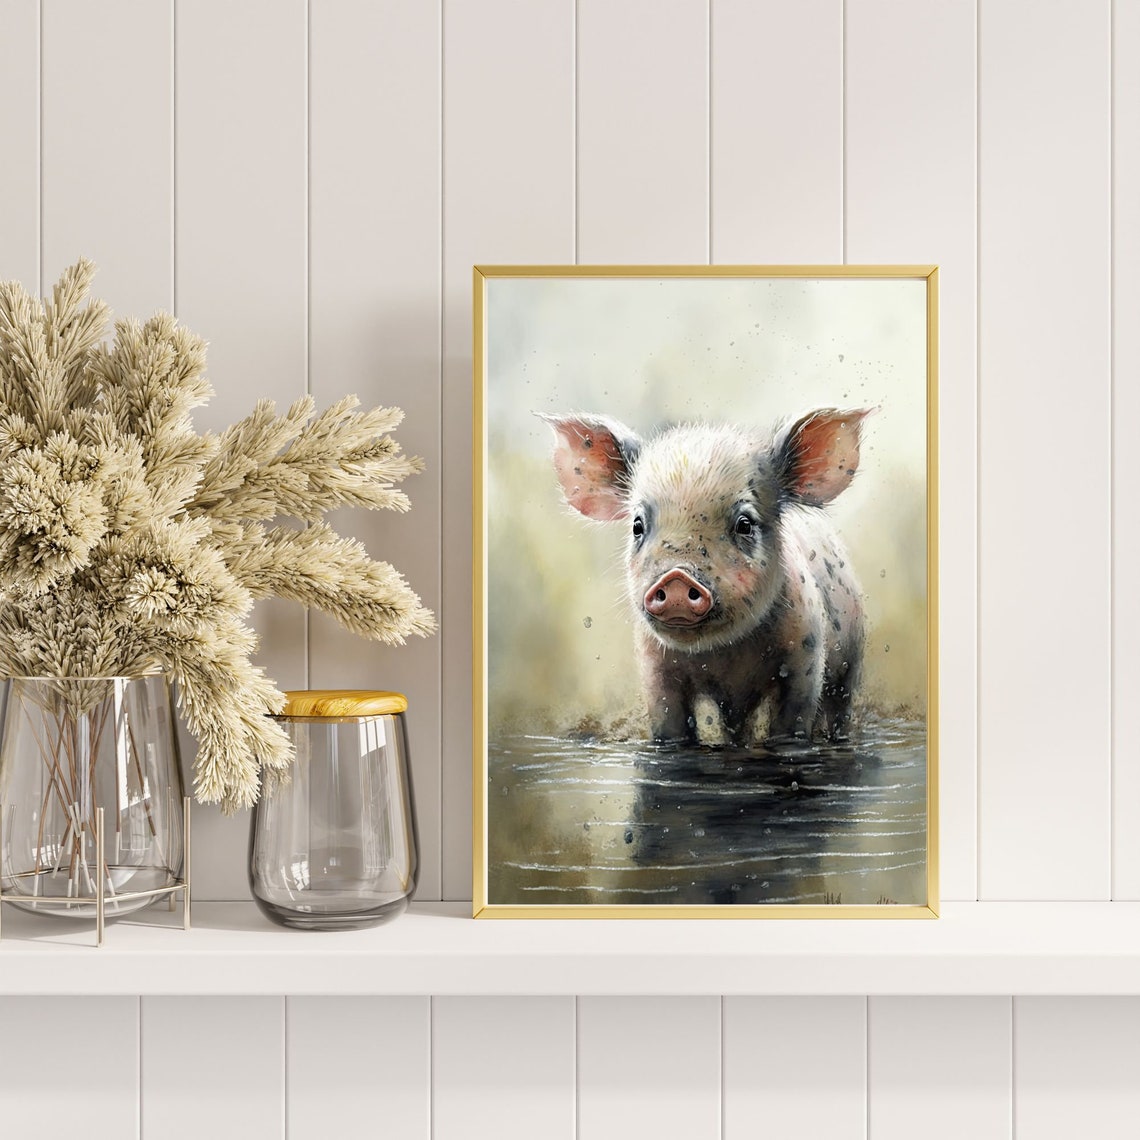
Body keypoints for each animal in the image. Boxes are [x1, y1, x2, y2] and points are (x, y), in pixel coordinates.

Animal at [541, 408, 870, 745]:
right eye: (637, 525)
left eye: (745, 524)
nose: (676, 578)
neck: (726, 655)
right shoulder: (655, 668)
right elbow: (670, 728)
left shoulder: (805, 658)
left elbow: (791, 724)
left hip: (851, 661)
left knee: (839, 710)